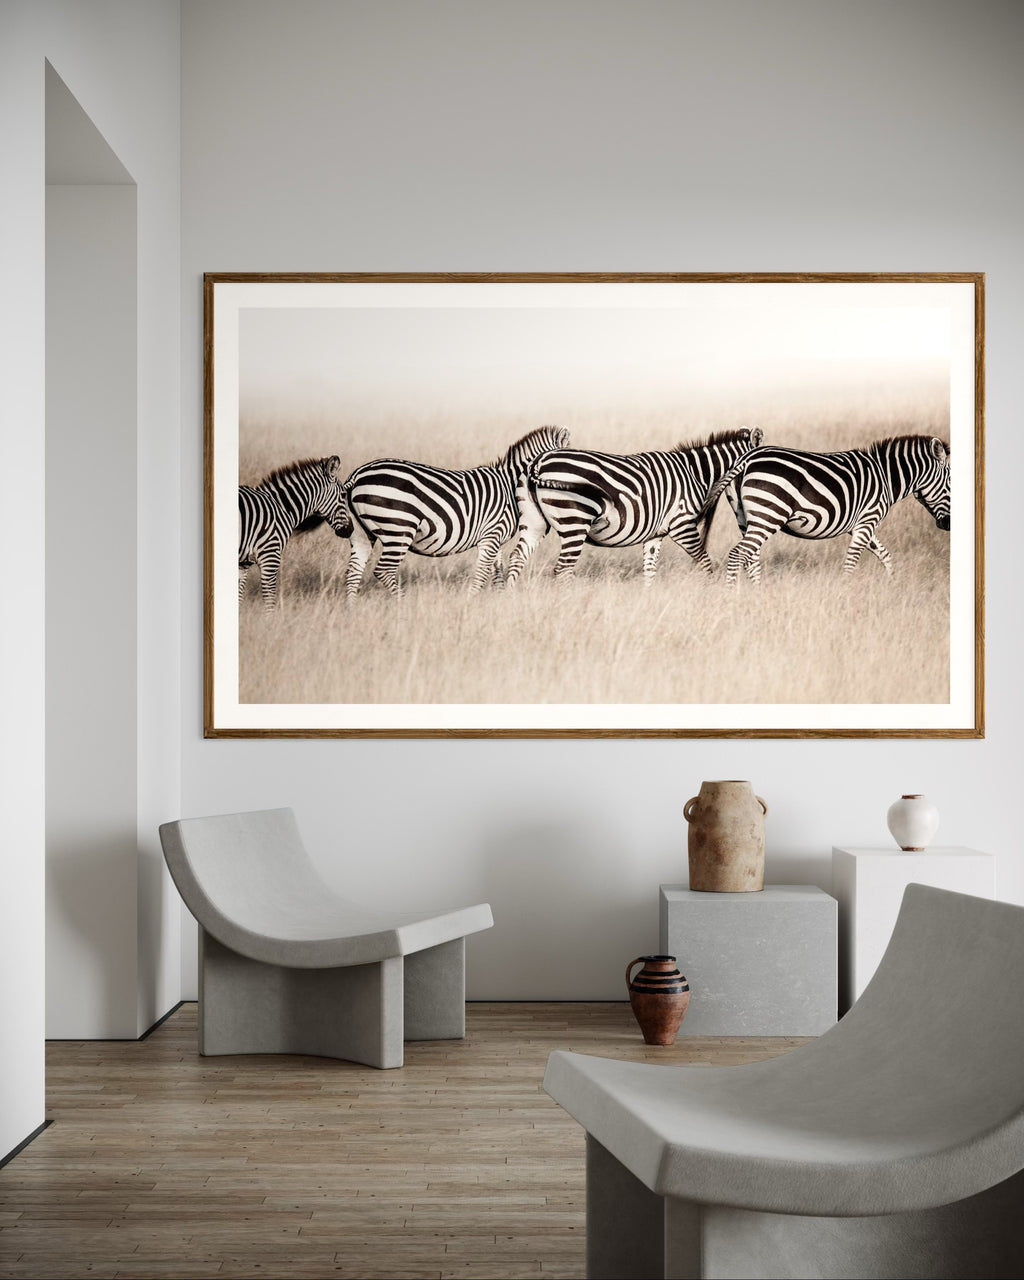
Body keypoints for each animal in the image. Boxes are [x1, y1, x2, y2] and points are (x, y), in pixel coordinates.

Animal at [238, 455, 351, 609]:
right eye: (343, 494)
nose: (350, 529)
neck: (281, 507)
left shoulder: (243, 563)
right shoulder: (270, 557)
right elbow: (269, 599)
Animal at [341, 425, 571, 598]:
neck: (510, 485)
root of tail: (357, 474)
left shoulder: (494, 538)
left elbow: (497, 572)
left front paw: (498, 600)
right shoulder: (491, 534)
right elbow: (482, 574)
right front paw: (470, 602)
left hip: (362, 533)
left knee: (353, 572)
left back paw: (352, 609)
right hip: (398, 529)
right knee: (384, 570)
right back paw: (402, 604)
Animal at [505, 427, 764, 586]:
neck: (695, 472)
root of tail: (538, 462)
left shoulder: (655, 534)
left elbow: (649, 570)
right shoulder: (682, 524)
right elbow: (704, 561)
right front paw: (710, 591)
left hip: (534, 523)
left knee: (517, 558)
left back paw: (510, 598)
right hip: (574, 521)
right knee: (563, 570)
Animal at [723, 434, 951, 583]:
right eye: (950, 481)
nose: (947, 525)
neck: (886, 477)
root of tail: (747, 459)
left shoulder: (860, 524)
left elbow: (884, 554)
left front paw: (892, 584)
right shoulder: (868, 520)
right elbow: (852, 561)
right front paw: (845, 591)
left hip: (745, 518)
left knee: (751, 559)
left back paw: (756, 593)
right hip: (768, 516)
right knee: (737, 555)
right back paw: (732, 597)